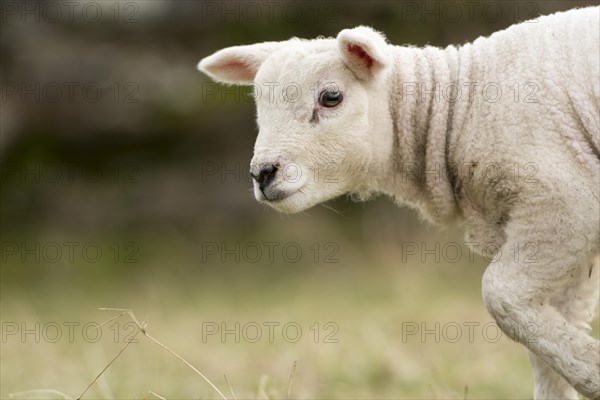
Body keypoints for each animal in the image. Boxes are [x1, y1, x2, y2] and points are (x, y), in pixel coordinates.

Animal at [199, 7, 600, 400]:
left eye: (331, 97)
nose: (263, 173)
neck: (457, 107)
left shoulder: (563, 204)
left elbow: (502, 295)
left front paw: (592, 374)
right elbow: (545, 349)